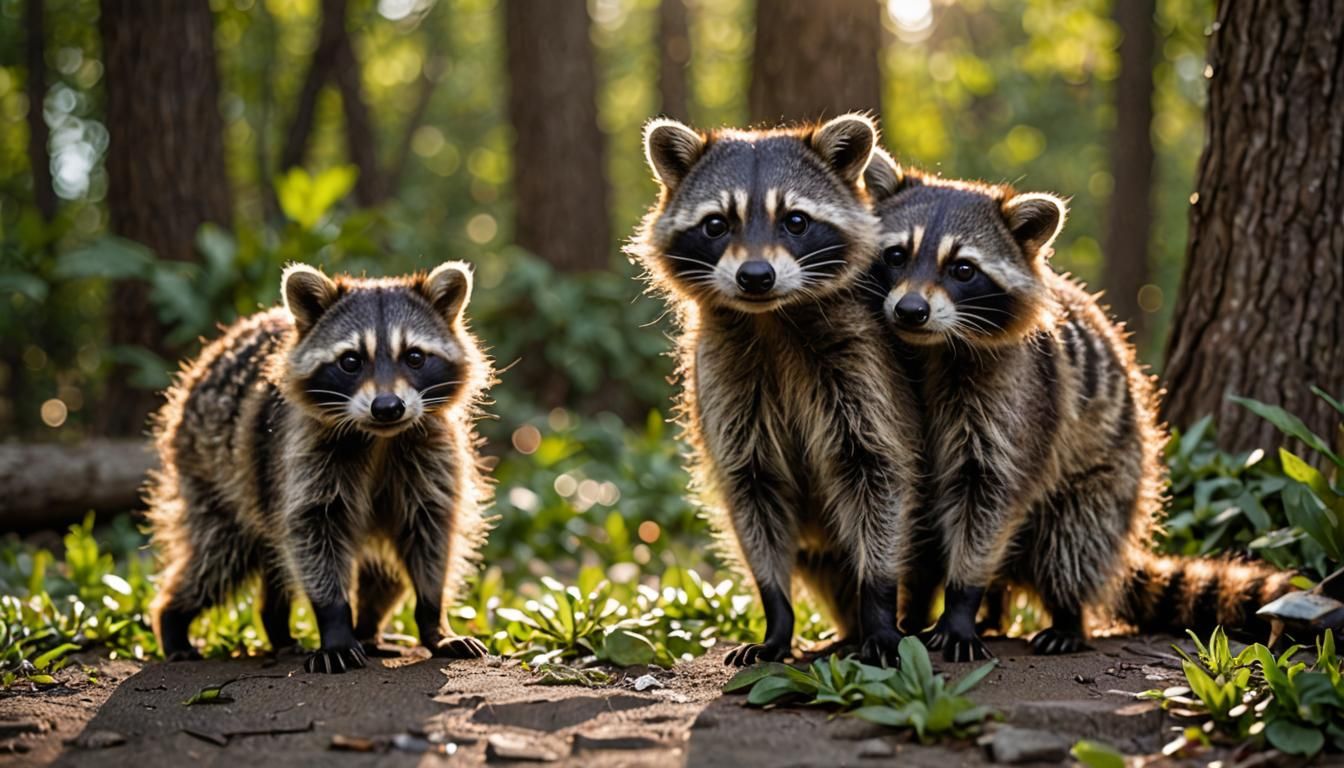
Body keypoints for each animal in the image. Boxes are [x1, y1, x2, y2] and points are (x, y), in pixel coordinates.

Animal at [147, 262, 492, 673]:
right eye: (351, 361)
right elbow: (313, 533)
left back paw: (353, 630)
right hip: (213, 474)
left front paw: (433, 619)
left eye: (415, 357)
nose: (388, 407)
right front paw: (335, 625)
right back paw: (174, 620)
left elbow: (432, 534)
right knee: (215, 560)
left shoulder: (433, 453)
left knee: (382, 574)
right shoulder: (301, 454)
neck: (379, 437)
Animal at [630, 114, 922, 666]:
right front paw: (777, 613)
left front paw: (877, 604)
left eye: (796, 221)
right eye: (716, 224)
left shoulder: (864, 366)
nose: (756, 277)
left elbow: (877, 475)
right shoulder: (724, 381)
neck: (771, 320)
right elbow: (752, 491)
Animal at [863, 152, 1295, 660]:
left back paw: (1065, 614)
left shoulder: (1020, 397)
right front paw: (913, 600)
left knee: (1073, 542)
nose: (911, 311)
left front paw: (962, 599)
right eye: (897, 255)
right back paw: (972, 607)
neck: (931, 348)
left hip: (1113, 471)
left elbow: (989, 495)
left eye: (963, 269)